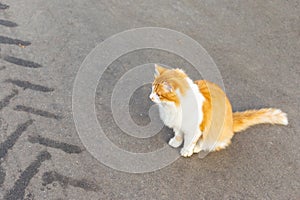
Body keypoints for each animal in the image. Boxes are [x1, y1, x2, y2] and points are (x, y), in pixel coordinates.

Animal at [150, 65, 288, 157]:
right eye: (152, 89)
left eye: (158, 94)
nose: (150, 97)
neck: (172, 107)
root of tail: (231, 120)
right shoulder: (178, 124)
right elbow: (178, 135)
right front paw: (175, 142)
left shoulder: (196, 129)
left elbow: (191, 141)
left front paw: (186, 151)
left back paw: (197, 148)